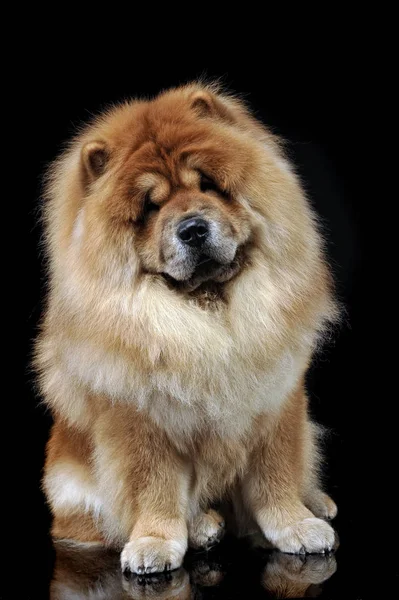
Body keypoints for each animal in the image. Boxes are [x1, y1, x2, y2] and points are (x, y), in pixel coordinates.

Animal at [35, 82, 340, 576]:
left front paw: (296, 525)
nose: (193, 228)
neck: (208, 314)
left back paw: (317, 503)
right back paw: (202, 527)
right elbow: (154, 488)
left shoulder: (276, 400)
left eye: (208, 185)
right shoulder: (140, 424)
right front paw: (156, 543)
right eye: (150, 207)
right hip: (70, 489)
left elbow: (276, 475)